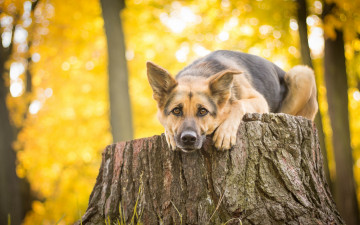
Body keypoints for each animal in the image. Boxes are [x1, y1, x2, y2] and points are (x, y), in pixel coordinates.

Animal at [147, 50, 318, 152]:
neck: (199, 72)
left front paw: (225, 132)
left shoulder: (260, 100)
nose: (188, 138)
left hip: (302, 74)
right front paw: (169, 133)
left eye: (203, 111)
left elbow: (238, 103)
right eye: (176, 110)